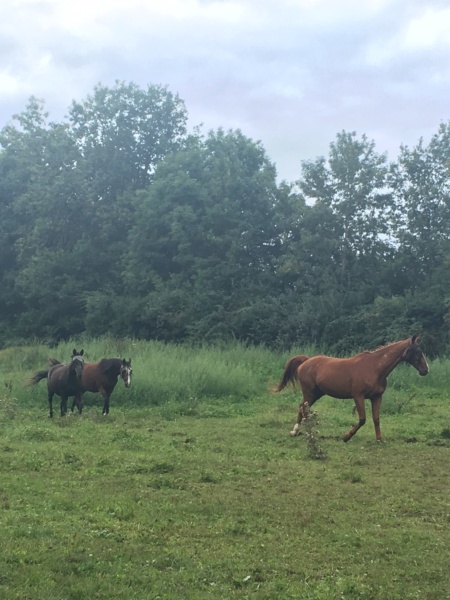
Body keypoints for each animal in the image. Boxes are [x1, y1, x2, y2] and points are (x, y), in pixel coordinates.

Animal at [274, 336, 428, 442]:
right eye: (417, 351)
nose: (425, 370)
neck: (375, 368)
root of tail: (306, 361)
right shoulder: (358, 396)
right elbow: (362, 419)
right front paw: (346, 437)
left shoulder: (377, 397)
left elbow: (376, 418)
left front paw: (380, 439)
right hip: (309, 393)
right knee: (302, 408)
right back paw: (295, 431)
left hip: (317, 394)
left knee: (303, 409)